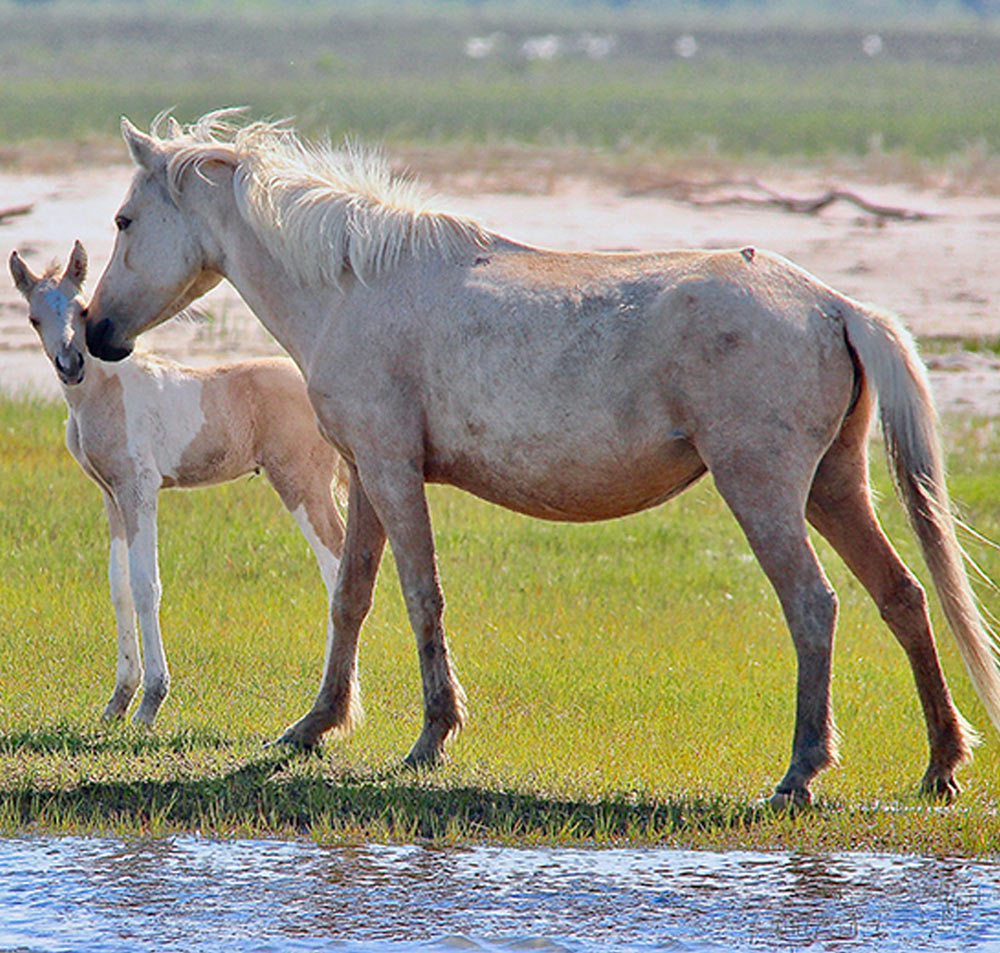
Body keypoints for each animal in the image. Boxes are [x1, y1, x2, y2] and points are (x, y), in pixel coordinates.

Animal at [10, 240, 347, 727]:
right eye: (35, 319)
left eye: (81, 309)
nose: (70, 366)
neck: (101, 394)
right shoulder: (111, 495)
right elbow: (119, 586)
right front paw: (117, 701)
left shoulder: (140, 489)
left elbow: (146, 585)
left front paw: (150, 702)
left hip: (302, 483)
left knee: (337, 566)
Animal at [82, 109, 1000, 806]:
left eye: (124, 222)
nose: (96, 331)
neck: (352, 286)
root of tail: (835, 304)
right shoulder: (369, 475)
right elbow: (351, 597)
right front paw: (316, 726)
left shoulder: (390, 471)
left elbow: (420, 597)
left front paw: (432, 736)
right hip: (832, 487)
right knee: (903, 596)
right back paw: (941, 764)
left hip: (765, 490)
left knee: (814, 608)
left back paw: (802, 771)